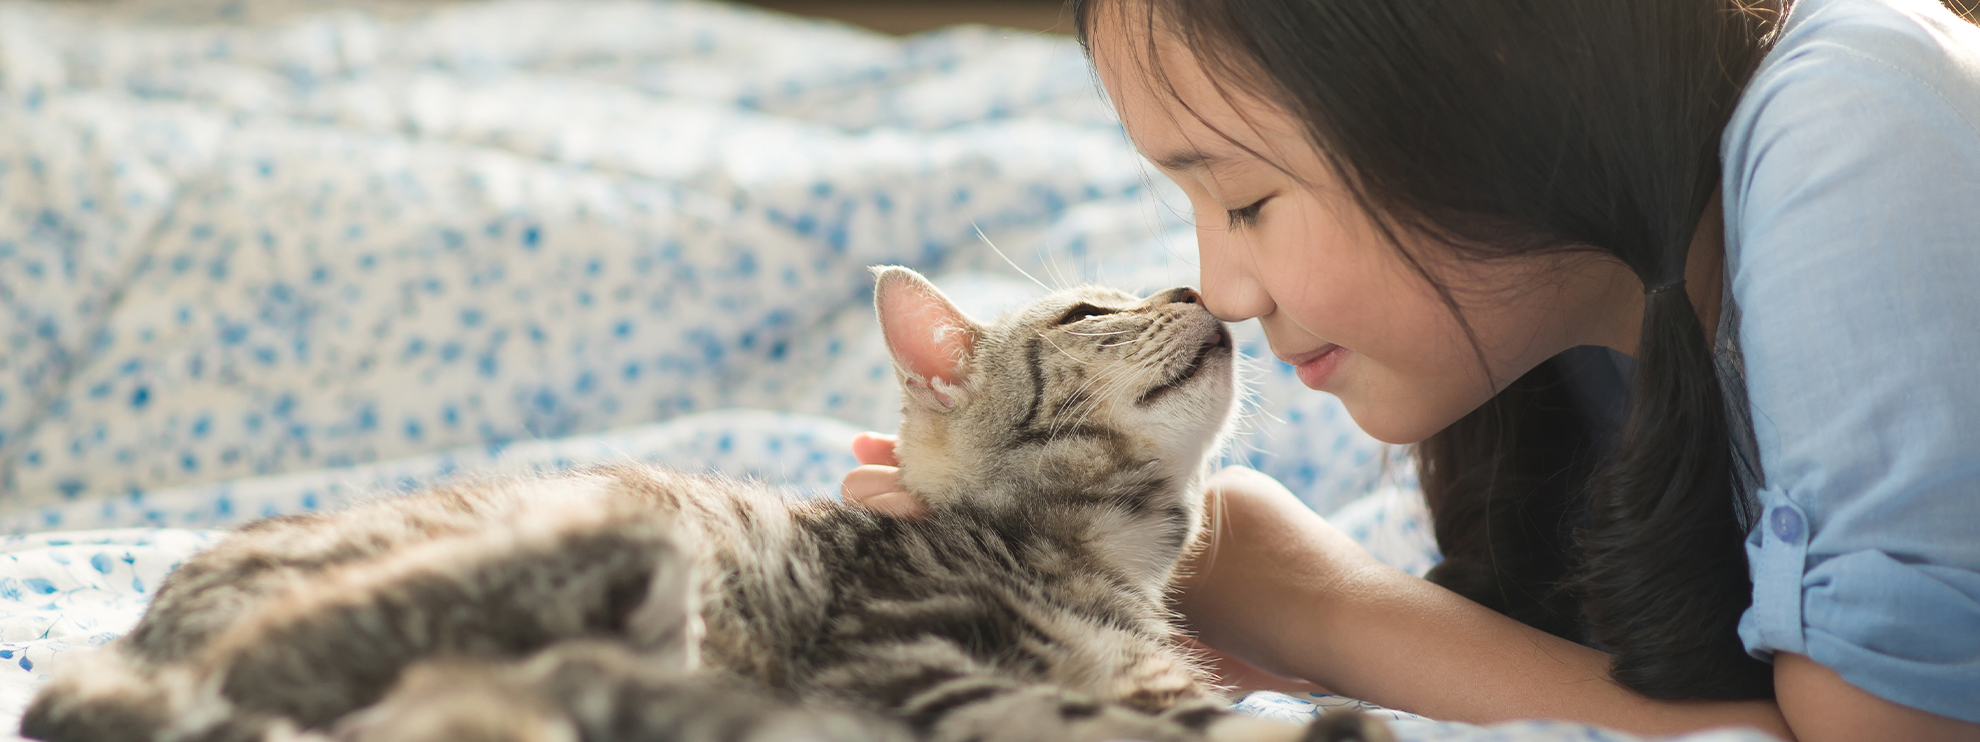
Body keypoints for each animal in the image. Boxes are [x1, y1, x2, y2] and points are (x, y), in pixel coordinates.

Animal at [19, 267, 1393, 742]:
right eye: (1090, 311)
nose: (1198, 285)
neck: (1105, 555)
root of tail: (140, 636)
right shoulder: (903, 665)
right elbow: (1094, 720)